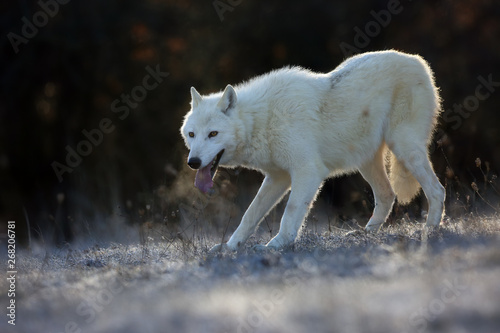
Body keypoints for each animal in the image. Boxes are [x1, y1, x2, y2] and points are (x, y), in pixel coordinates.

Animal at [180, 50, 446, 252]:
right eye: (191, 134)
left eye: (213, 134)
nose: (193, 162)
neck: (263, 120)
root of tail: (418, 61)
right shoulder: (277, 177)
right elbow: (250, 215)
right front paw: (229, 247)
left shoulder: (307, 172)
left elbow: (290, 213)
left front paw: (276, 245)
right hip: (367, 161)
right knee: (387, 195)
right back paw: (365, 234)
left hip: (405, 148)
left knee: (437, 190)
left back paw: (430, 232)